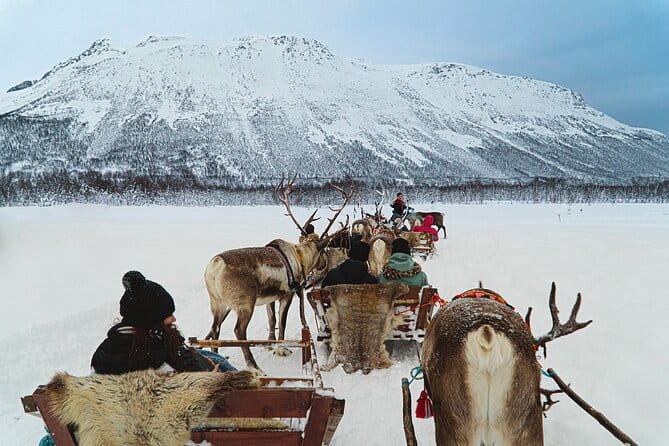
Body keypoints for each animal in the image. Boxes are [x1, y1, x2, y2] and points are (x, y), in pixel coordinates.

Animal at [204, 176, 353, 370]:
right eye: (323, 251)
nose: (324, 265)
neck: (300, 257)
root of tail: (216, 265)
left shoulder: (270, 298)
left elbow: (272, 320)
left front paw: (270, 344)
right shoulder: (287, 294)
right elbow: (282, 322)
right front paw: (281, 349)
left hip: (218, 302)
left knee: (215, 329)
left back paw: (218, 361)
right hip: (245, 304)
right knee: (238, 330)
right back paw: (254, 366)